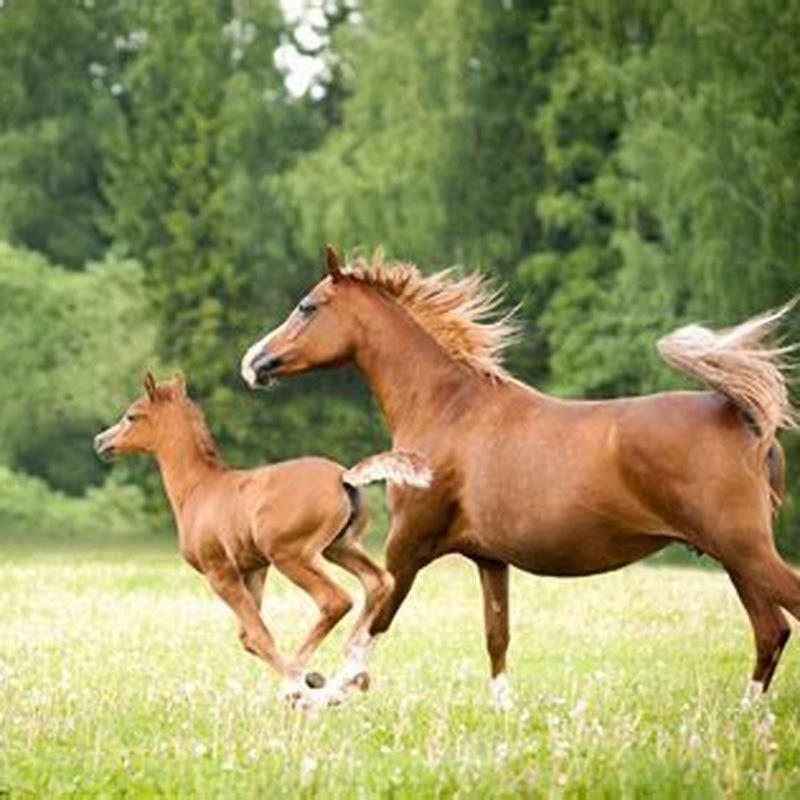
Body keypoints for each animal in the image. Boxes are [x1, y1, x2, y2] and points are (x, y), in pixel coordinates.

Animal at [93, 371, 431, 705]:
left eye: (132, 416)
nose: (101, 441)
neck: (199, 489)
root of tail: (343, 477)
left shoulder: (220, 572)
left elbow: (258, 635)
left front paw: (299, 687)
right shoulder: (254, 568)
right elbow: (248, 637)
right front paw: (313, 680)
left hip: (291, 556)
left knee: (335, 600)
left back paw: (311, 679)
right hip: (339, 547)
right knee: (379, 582)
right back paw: (349, 671)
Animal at [241, 246, 798, 709]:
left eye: (307, 306)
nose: (253, 363)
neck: (450, 409)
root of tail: (746, 419)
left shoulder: (409, 544)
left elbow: (373, 622)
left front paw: (319, 691)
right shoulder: (490, 560)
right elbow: (497, 634)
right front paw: (505, 709)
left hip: (744, 549)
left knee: (780, 617)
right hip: (734, 558)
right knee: (770, 631)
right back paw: (747, 714)